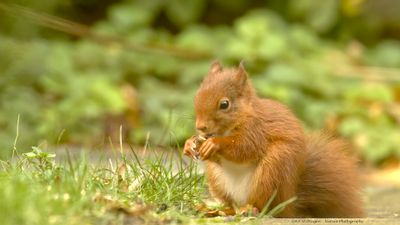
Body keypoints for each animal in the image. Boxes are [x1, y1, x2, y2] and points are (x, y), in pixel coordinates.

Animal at [183, 60, 364, 217]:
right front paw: (189, 144)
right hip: (218, 181)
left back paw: (251, 209)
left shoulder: (256, 131)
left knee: (265, 207)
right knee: (231, 205)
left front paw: (214, 144)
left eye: (224, 104)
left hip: (273, 169)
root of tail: (289, 202)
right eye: (196, 97)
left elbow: (244, 148)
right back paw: (214, 209)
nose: (200, 127)